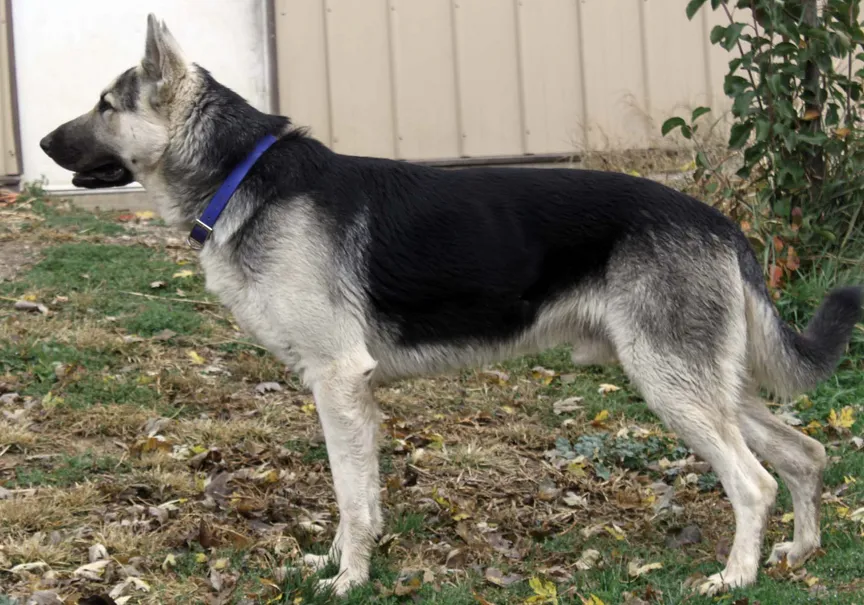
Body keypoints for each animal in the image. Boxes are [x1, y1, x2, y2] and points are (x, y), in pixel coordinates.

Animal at [42, 13, 864, 596]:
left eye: (105, 105)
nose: (45, 143)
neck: (240, 173)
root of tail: (720, 222)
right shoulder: (350, 394)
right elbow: (360, 496)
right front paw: (338, 564)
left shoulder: (337, 382)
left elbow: (351, 497)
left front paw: (349, 579)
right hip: (708, 385)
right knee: (805, 454)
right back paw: (799, 551)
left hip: (672, 386)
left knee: (754, 481)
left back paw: (737, 576)